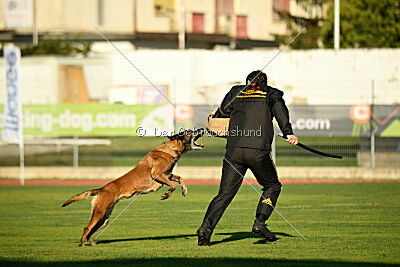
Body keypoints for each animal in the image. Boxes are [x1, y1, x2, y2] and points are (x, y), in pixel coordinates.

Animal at [63, 129, 206, 248]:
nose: (201, 129)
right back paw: (82, 244)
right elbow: (173, 185)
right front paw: (167, 194)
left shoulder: (168, 175)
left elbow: (180, 179)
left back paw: (91, 242)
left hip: (104, 217)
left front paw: (184, 190)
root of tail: (102, 189)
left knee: (92, 229)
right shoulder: (158, 175)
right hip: (100, 212)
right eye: (190, 131)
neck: (170, 149)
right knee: (87, 228)